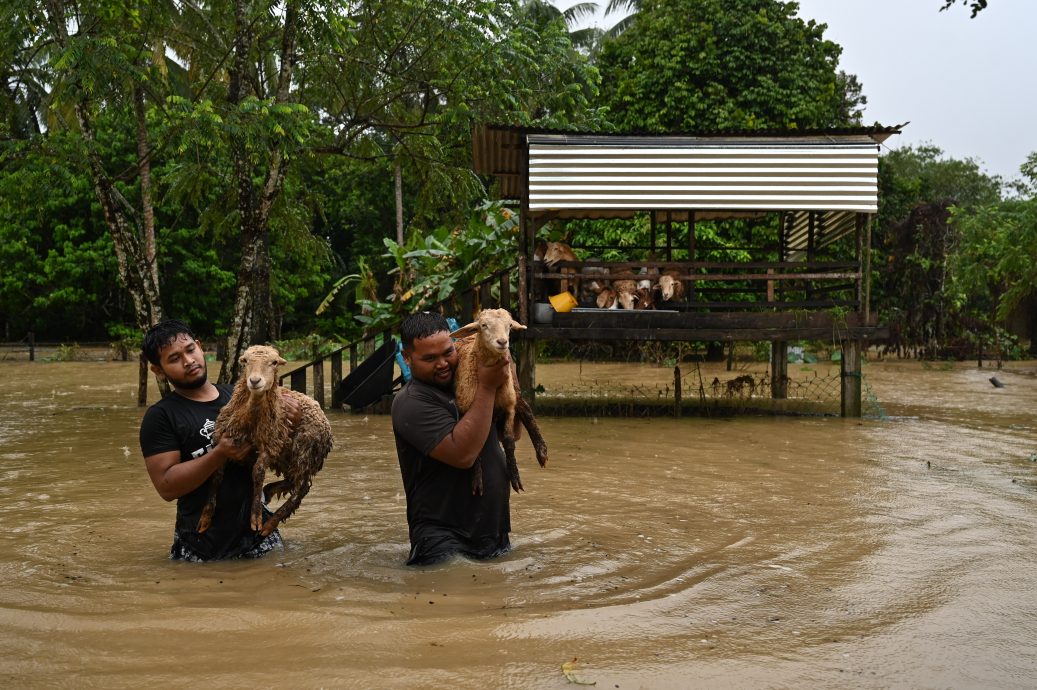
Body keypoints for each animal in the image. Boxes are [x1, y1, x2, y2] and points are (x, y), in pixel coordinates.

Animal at [198, 346, 331, 535]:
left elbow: (258, 473)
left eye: (274, 362)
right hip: (287, 455)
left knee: (301, 487)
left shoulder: (270, 444)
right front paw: (205, 518)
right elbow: (217, 475)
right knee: (292, 479)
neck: (251, 419)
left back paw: (270, 523)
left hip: (304, 452)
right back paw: (269, 491)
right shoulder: (221, 442)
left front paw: (256, 518)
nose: (254, 381)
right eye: (245, 361)